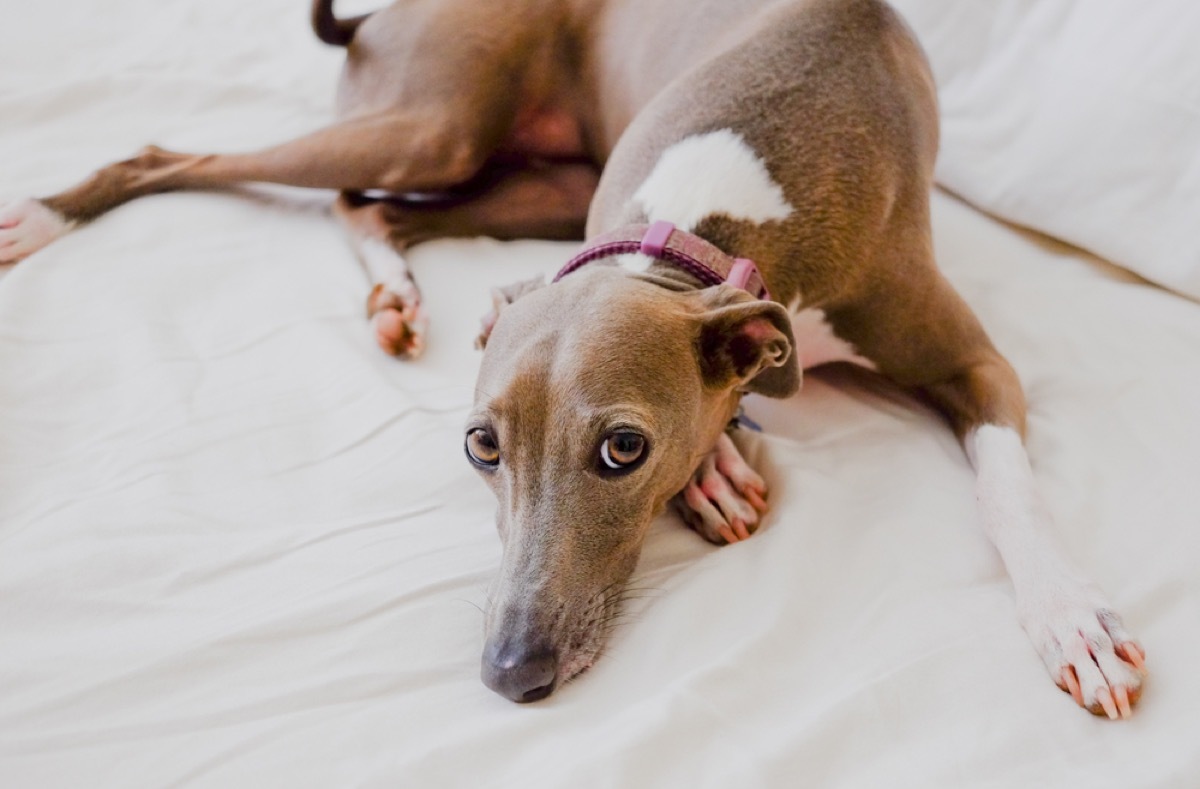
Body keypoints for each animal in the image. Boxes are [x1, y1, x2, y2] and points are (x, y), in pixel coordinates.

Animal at [0, 0, 1142, 714]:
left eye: (623, 449)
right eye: (481, 447)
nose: (510, 674)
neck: (698, 234)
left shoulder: (977, 363)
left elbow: (1008, 489)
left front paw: (1071, 619)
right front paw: (719, 466)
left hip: (524, 173)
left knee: (363, 205)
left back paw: (390, 285)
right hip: (437, 125)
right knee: (199, 161)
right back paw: (52, 215)